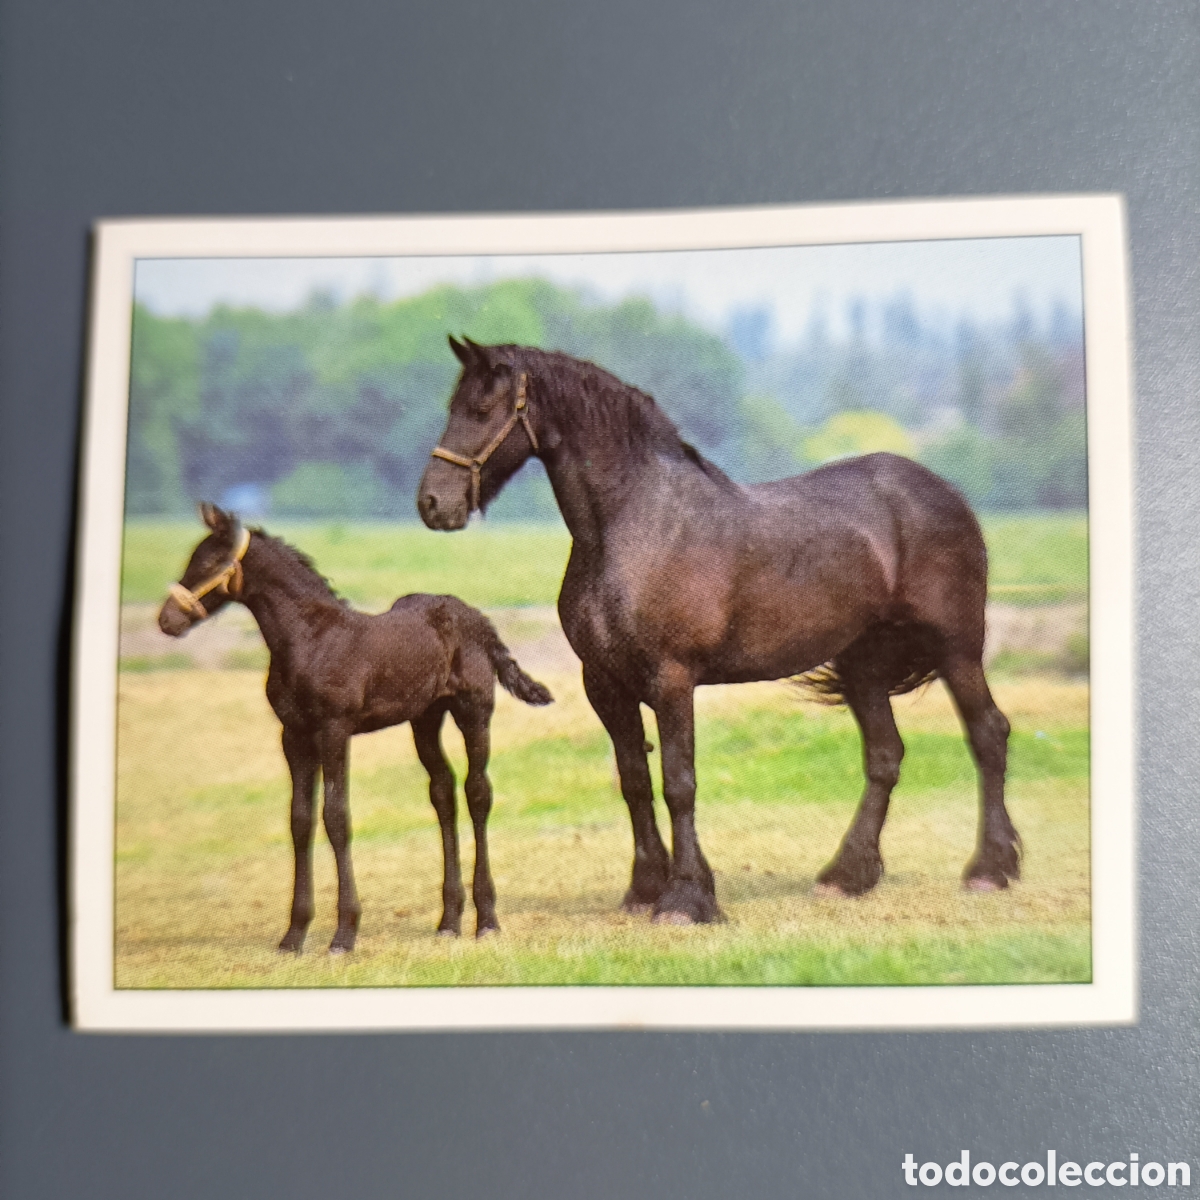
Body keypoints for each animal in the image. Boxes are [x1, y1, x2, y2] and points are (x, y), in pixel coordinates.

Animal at [157, 503, 553, 952]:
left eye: (207, 562)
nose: (167, 620)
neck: (310, 640)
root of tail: (478, 618)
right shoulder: (294, 735)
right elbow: (300, 820)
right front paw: (293, 935)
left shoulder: (334, 729)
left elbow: (336, 817)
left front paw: (344, 935)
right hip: (425, 718)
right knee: (443, 792)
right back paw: (449, 920)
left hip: (474, 711)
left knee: (477, 792)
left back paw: (486, 919)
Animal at [418, 337, 1018, 925]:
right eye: (451, 406)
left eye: (481, 409)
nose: (432, 504)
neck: (636, 526)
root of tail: (943, 492)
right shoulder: (605, 684)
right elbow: (635, 781)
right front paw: (647, 887)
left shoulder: (672, 680)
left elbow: (679, 783)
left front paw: (685, 899)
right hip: (862, 663)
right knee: (885, 755)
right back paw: (848, 875)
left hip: (957, 649)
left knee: (988, 733)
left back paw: (991, 869)